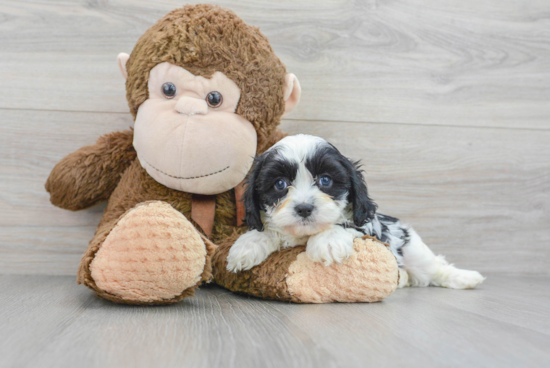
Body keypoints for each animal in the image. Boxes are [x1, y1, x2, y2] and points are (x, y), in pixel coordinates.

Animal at [226, 134, 486, 288]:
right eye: (280, 184)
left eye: (326, 180)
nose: (304, 208)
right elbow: (267, 230)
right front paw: (248, 244)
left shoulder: (368, 226)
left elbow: (346, 225)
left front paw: (328, 242)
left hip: (414, 250)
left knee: (435, 267)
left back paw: (467, 278)